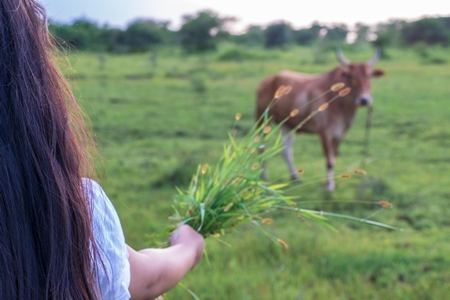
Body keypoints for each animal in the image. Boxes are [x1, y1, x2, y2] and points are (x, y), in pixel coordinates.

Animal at [255, 48, 384, 190]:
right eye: (351, 76)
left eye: (369, 75)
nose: (364, 100)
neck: (341, 104)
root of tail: (267, 80)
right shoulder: (324, 132)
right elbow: (329, 160)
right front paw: (330, 186)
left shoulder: (340, 134)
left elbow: (334, 157)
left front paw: (330, 182)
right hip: (262, 120)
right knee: (261, 146)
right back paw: (263, 176)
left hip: (286, 125)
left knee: (287, 151)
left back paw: (295, 177)